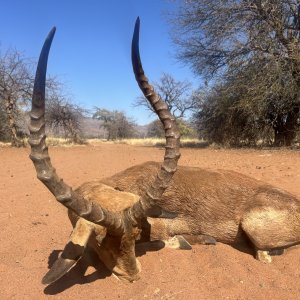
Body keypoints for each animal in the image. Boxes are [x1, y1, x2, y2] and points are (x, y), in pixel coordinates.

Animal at [28, 18, 300, 286]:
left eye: (135, 234)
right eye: (99, 240)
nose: (131, 276)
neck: (120, 184)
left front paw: (193, 240)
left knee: (265, 253)